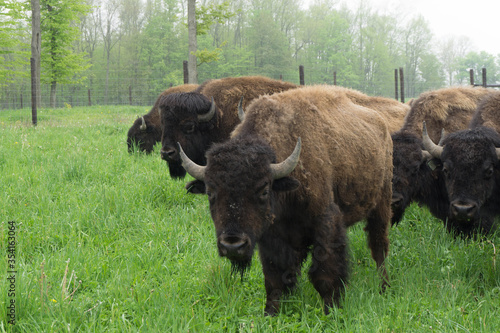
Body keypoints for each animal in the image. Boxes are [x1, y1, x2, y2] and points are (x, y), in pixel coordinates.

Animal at [178, 85, 392, 314]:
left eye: (264, 190)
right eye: (210, 192)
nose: (233, 245)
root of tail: (382, 125)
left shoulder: (326, 222)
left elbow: (325, 273)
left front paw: (331, 309)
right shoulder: (272, 237)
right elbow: (274, 278)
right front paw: (271, 312)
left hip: (381, 205)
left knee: (379, 248)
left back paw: (384, 287)